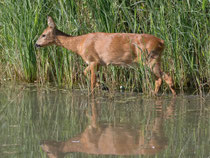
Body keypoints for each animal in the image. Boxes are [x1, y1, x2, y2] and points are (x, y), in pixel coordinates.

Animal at [35, 16, 176, 95]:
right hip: (153, 59)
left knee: (167, 78)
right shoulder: (97, 63)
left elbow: (91, 82)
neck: (79, 44)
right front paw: (103, 86)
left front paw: (94, 91)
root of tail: (162, 42)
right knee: (160, 79)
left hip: (150, 58)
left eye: (43, 34)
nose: (36, 44)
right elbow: (85, 73)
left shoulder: (93, 60)